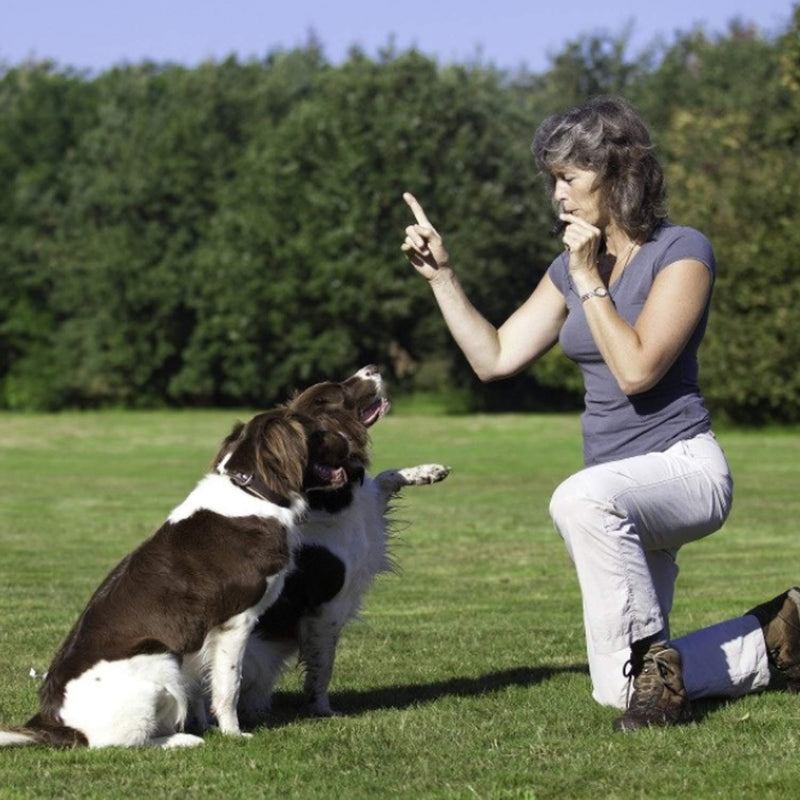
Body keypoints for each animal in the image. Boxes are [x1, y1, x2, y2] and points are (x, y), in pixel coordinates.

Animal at [0, 406, 356, 752]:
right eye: (318, 430)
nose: (352, 442)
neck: (252, 493)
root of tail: (54, 722)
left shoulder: (199, 633)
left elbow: (199, 684)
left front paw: (206, 724)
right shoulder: (235, 621)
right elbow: (229, 684)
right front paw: (232, 733)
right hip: (159, 662)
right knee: (119, 743)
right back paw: (183, 740)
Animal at [238, 368, 450, 724]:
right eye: (340, 388)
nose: (373, 367)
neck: (327, 496)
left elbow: (385, 477)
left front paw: (429, 471)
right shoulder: (328, 608)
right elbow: (323, 665)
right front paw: (321, 709)